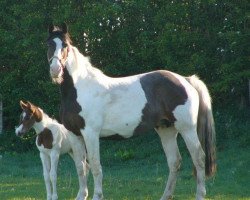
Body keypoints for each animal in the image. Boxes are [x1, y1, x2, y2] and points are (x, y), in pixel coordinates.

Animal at [46, 23, 216, 200]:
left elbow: (95, 165)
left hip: (187, 129)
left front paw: (97, 195)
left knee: (199, 158)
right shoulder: (74, 134)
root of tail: (186, 80)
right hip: (166, 129)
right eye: (49, 44)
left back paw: (200, 195)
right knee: (174, 161)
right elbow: (81, 167)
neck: (79, 89)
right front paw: (81, 195)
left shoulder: (90, 133)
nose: (55, 70)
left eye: (65, 45)